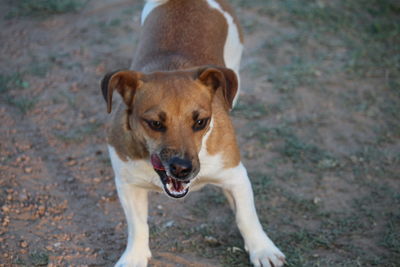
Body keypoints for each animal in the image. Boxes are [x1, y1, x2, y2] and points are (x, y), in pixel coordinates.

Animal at [101, 0, 286, 267]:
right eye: (154, 123)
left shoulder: (236, 176)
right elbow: (137, 226)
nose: (182, 169)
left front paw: (262, 249)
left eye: (201, 122)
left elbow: (246, 217)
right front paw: (134, 256)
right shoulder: (127, 184)